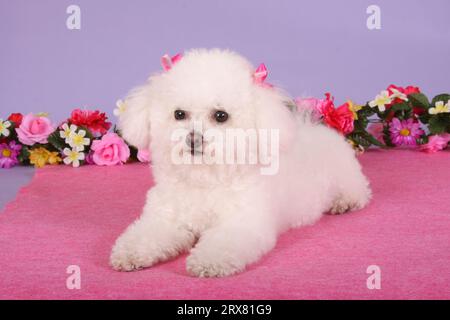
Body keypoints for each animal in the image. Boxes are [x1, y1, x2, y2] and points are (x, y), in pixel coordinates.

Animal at [110, 48, 370, 276]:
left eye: (221, 116)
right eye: (179, 114)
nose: (193, 138)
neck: (204, 178)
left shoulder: (242, 224)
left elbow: (222, 244)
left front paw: (209, 262)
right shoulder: (165, 219)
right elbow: (146, 235)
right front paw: (130, 253)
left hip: (346, 178)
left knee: (360, 192)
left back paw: (344, 202)